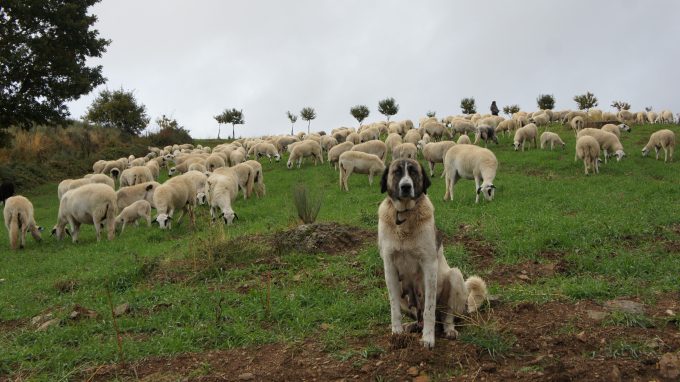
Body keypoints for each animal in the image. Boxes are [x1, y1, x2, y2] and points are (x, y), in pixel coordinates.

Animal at [380, 158, 486, 350]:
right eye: (397, 172)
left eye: (413, 172)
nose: (406, 187)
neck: (404, 218)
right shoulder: (389, 267)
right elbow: (394, 308)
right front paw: (396, 333)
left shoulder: (429, 266)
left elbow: (429, 310)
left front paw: (428, 339)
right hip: (401, 288)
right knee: (419, 317)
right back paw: (411, 326)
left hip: (455, 276)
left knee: (446, 317)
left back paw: (449, 330)